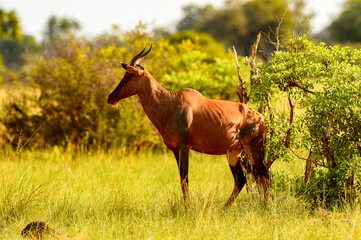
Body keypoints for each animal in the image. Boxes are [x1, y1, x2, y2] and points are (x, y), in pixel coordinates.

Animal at [108, 45, 268, 208]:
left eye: (128, 75)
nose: (111, 97)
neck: (171, 102)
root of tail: (261, 118)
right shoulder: (174, 149)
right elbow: (181, 179)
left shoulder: (185, 147)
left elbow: (185, 178)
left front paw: (188, 209)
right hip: (234, 152)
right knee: (241, 179)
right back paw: (224, 208)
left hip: (253, 147)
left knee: (264, 174)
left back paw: (266, 207)